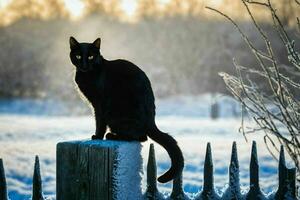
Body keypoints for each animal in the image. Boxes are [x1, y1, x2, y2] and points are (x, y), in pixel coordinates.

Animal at [69, 36, 184, 183]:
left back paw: (112, 135)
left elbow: (99, 122)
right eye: (78, 56)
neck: (87, 74)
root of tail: (151, 122)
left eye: (90, 56)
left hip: (117, 115)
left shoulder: (99, 104)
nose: (84, 65)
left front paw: (97, 137)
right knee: (141, 137)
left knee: (139, 137)